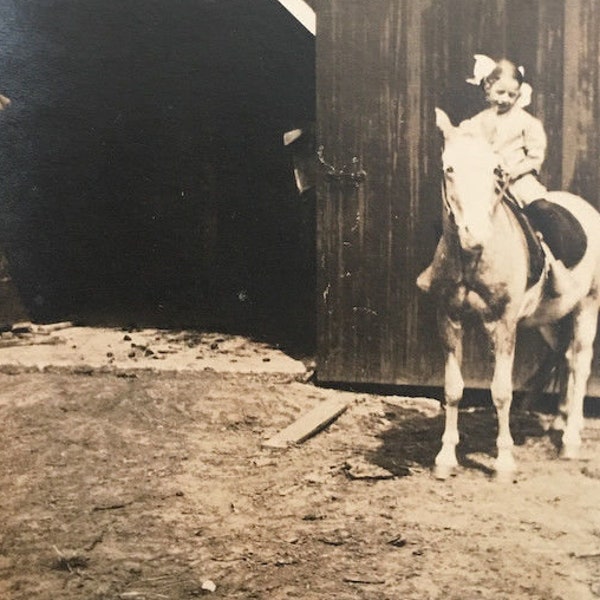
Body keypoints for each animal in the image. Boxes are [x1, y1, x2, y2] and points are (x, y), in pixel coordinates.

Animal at [428, 110, 600, 480]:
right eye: (449, 168)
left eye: (496, 170)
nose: (474, 236)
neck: (475, 259)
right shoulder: (448, 318)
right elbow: (453, 389)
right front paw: (445, 457)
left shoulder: (504, 324)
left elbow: (502, 391)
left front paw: (504, 462)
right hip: (551, 318)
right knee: (565, 358)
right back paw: (560, 421)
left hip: (587, 305)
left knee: (580, 363)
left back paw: (571, 439)